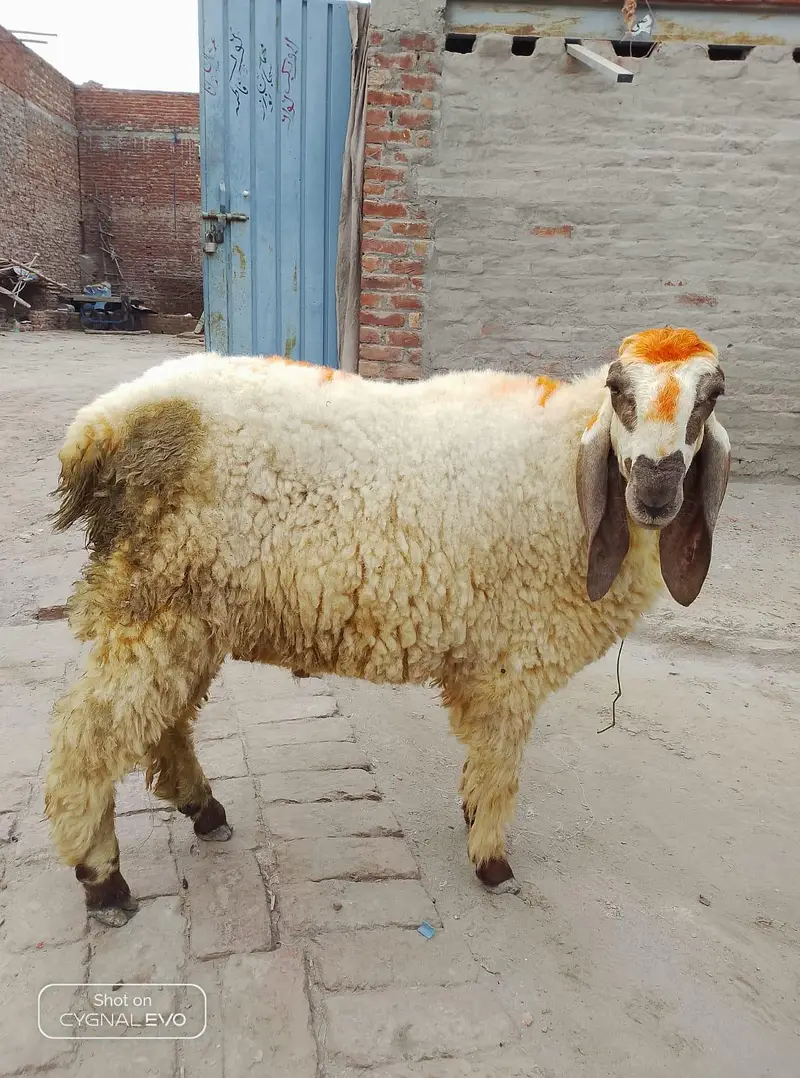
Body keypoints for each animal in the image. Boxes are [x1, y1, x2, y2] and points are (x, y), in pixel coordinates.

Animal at [45, 326, 730, 924]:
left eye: (710, 396)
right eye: (619, 389)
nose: (656, 489)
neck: (560, 467)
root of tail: (99, 427)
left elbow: (482, 764)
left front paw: (471, 813)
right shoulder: (509, 662)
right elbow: (501, 766)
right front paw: (492, 860)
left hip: (188, 612)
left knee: (161, 720)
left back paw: (203, 809)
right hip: (156, 603)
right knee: (92, 735)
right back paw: (103, 879)